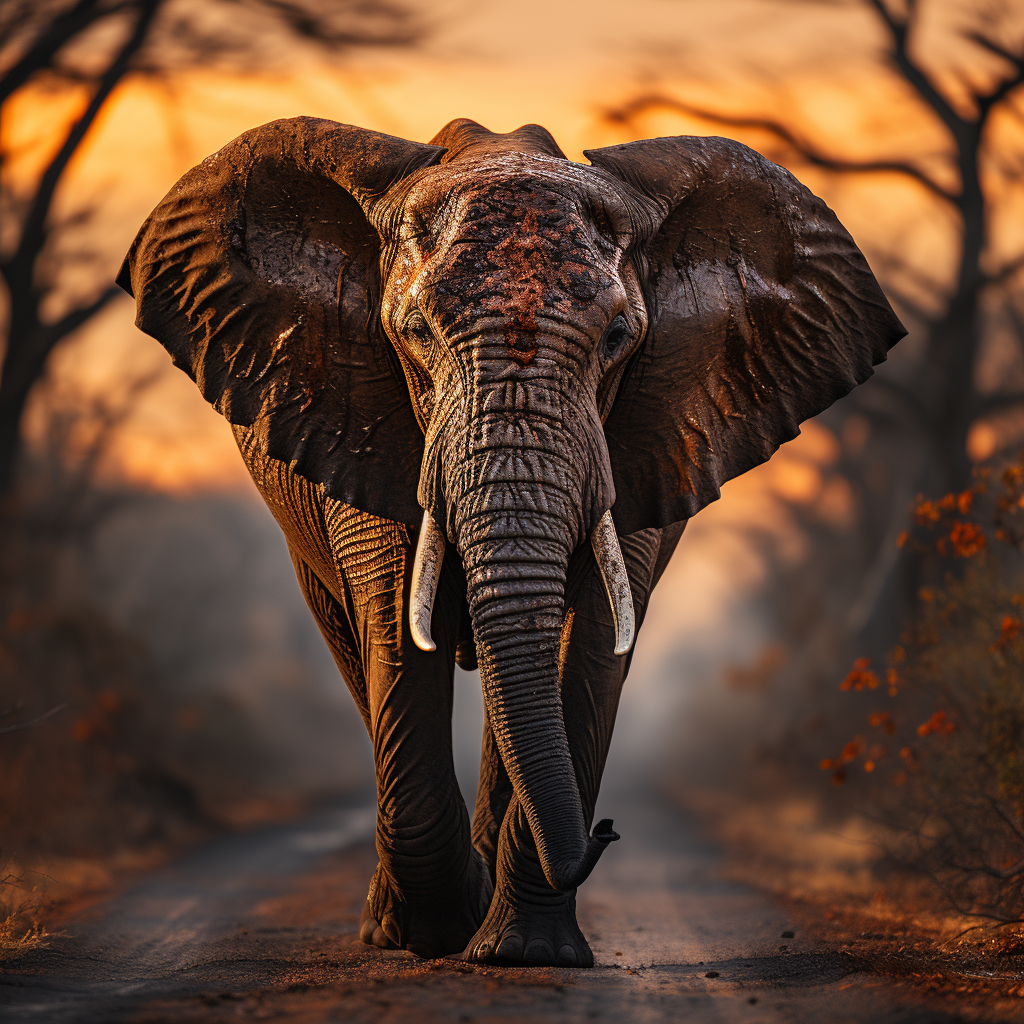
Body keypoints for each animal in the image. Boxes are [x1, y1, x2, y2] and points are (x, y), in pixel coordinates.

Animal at [117, 116, 905, 962]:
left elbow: (589, 640)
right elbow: (396, 620)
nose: (606, 832)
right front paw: (437, 930)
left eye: (620, 337)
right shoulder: (364, 413)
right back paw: (396, 921)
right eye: (415, 332)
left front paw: (525, 952)